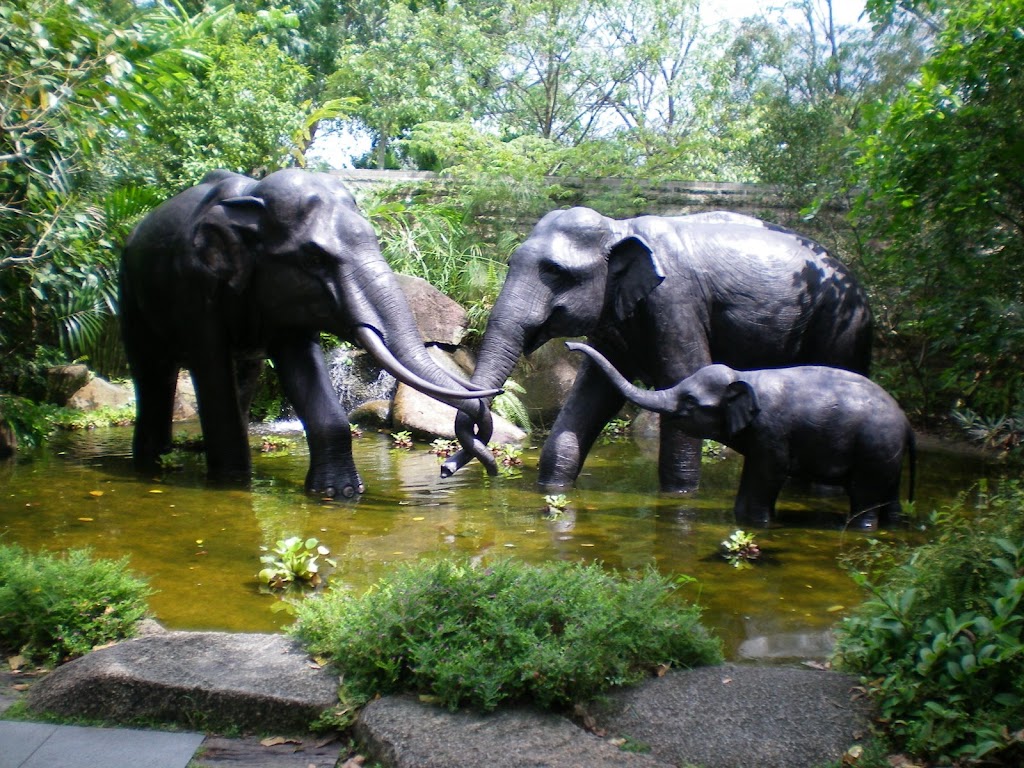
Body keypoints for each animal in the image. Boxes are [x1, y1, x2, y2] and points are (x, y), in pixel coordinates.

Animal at [119, 167, 499, 499]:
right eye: (314, 258)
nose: (446, 470)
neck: (249, 199)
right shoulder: (195, 289)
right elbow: (211, 370)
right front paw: (233, 483)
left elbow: (304, 366)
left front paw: (341, 493)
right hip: (131, 295)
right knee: (154, 374)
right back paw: (151, 461)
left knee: (243, 374)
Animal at [442, 207, 872, 493]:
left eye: (555, 272)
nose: (447, 468)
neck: (620, 227)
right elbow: (594, 395)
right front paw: (553, 491)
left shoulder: (675, 300)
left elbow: (682, 379)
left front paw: (678, 498)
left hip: (841, 329)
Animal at [573, 342, 917, 528]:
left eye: (689, 402)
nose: (569, 345)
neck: (744, 376)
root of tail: (907, 423)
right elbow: (754, 472)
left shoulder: (773, 430)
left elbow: (769, 472)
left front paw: (757, 524)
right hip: (886, 456)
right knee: (889, 495)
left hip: (874, 449)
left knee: (865, 496)